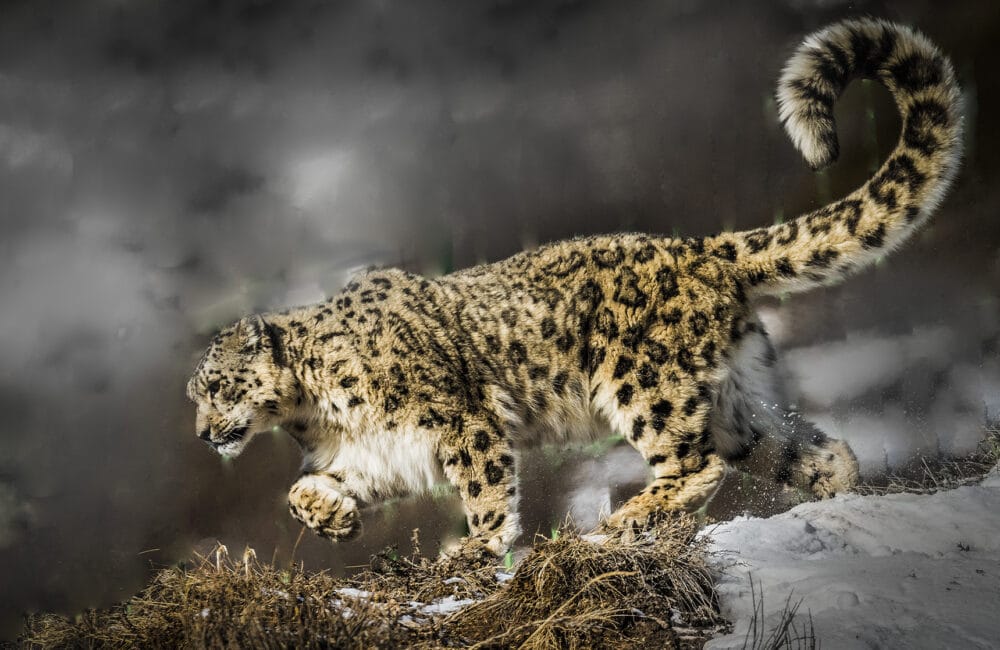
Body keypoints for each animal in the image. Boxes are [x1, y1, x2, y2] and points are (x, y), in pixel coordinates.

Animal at [186, 19, 960, 556]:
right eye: (196, 395)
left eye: (216, 387)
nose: (199, 435)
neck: (316, 413)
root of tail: (703, 249)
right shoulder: (372, 455)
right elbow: (300, 489)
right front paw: (331, 515)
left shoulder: (459, 419)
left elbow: (486, 486)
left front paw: (476, 549)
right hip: (734, 402)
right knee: (799, 448)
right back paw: (832, 493)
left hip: (645, 383)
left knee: (696, 464)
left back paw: (628, 518)